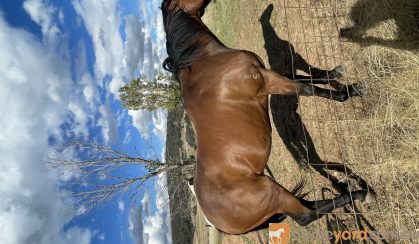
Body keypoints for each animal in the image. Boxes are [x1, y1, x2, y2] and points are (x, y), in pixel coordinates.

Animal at [162, 0, 374, 236]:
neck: (205, 61)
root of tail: (217, 221)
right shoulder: (267, 80)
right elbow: (307, 88)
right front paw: (348, 92)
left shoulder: (270, 75)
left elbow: (305, 76)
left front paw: (338, 77)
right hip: (273, 193)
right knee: (306, 215)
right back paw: (362, 194)